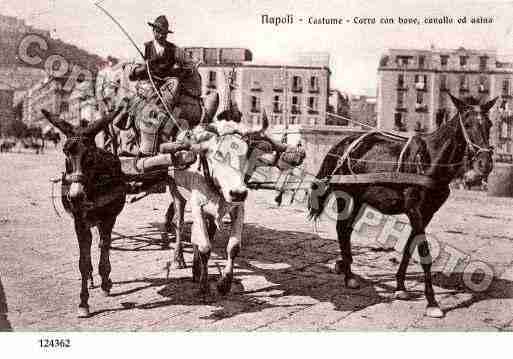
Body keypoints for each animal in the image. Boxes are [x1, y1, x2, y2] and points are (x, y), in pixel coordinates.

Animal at [308, 93, 496, 318]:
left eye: (489, 124)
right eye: (467, 124)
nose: (485, 163)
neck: (429, 160)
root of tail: (342, 144)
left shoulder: (427, 213)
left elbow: (409, 247)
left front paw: (400, 287)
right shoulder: (415, 210)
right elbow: (424, 253)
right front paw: (432, 302)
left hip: (360, 198)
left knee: (346, 229)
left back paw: (347, 270)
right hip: (344, 194)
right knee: (341, 229)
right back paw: (348, 275)